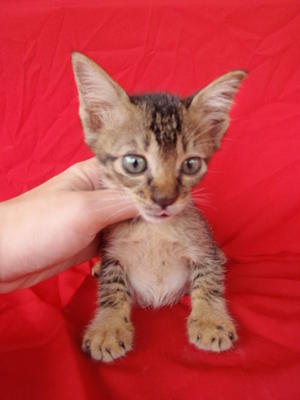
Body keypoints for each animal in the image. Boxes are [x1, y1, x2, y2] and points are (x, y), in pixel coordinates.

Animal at [72, 51, 246, 360]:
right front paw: (108, 328)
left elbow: (208, 279)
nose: (165, 199)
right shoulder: (113, 251)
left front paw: (210, 321)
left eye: (191, 164)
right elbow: (111, 287)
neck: (154, 232)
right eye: (134, 163)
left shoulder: (201, 244)